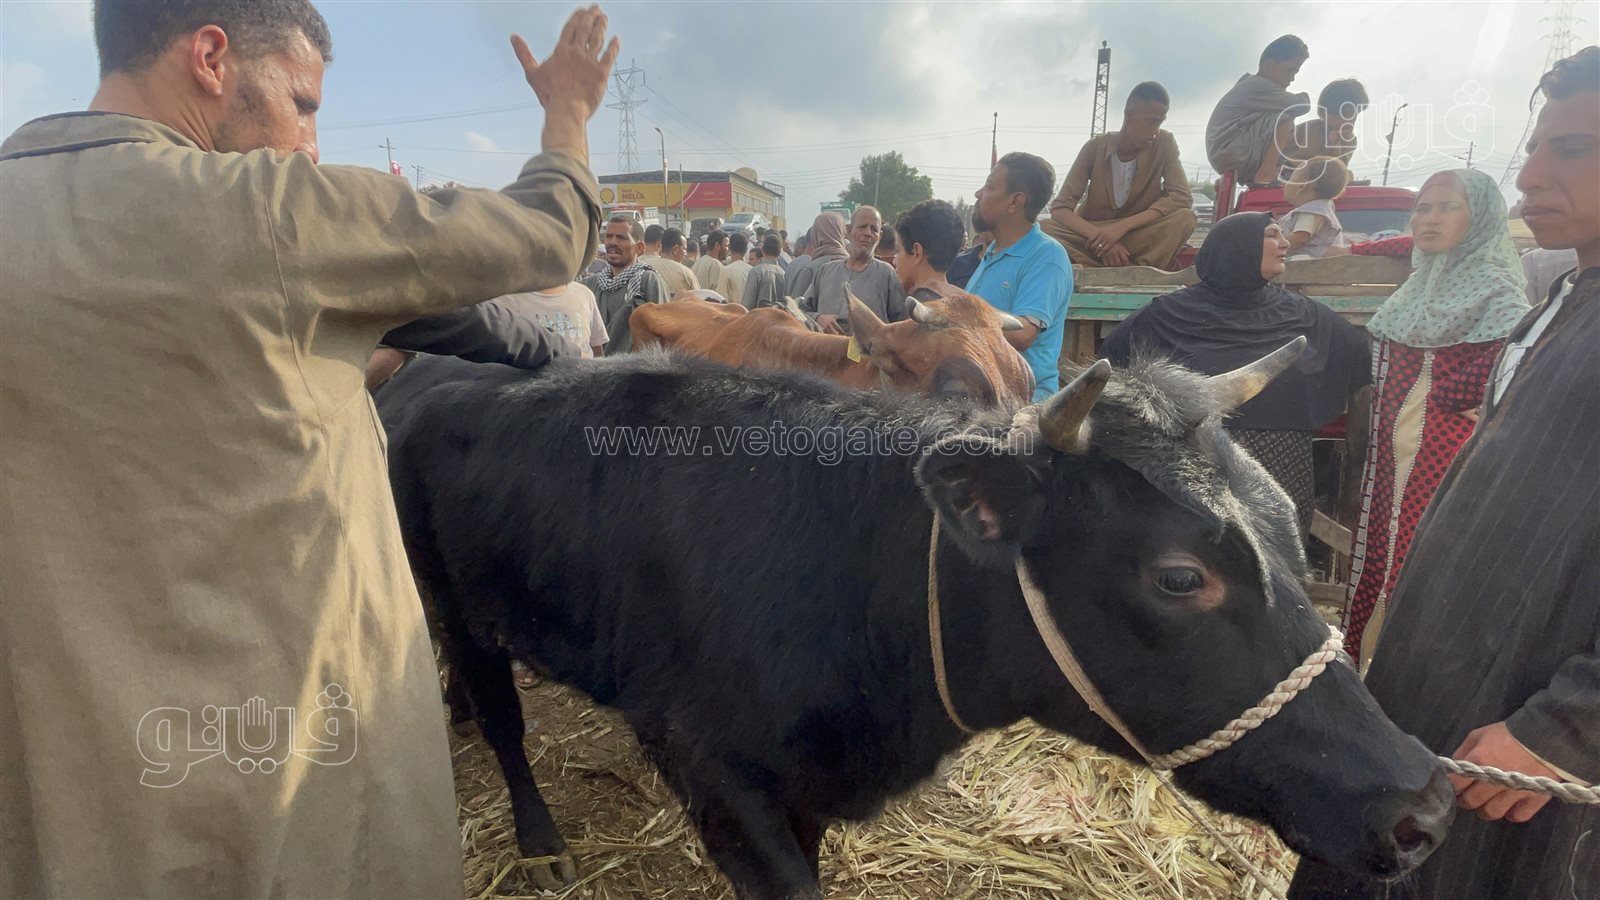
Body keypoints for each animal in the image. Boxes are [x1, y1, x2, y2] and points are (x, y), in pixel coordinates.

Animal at [377, 345, 1453, 899]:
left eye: (1286, 522)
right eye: (1180, 577)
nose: (1428, 804)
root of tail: (429, 372)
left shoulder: (805, 789)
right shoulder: (712, 770)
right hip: (457, 601)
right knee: (503, 717)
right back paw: (535, 834)